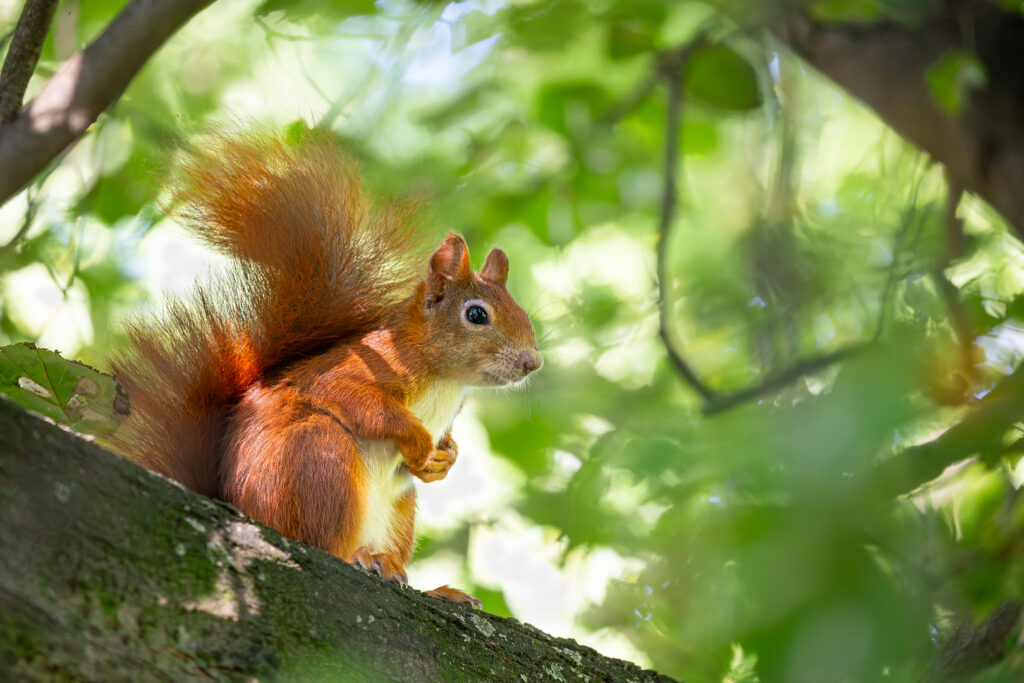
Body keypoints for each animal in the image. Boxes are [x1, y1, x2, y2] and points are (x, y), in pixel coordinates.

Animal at [109, 131, 542, 607]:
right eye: (477, 315)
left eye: (522, 311)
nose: (532, 361)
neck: (447, 382)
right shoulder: (362, 370)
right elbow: (357, 400)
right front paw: (417, 441)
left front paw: (444, 459)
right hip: (319, 460)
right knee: (324, 543)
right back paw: (359, 558)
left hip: (398, 508)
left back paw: (426, 584)